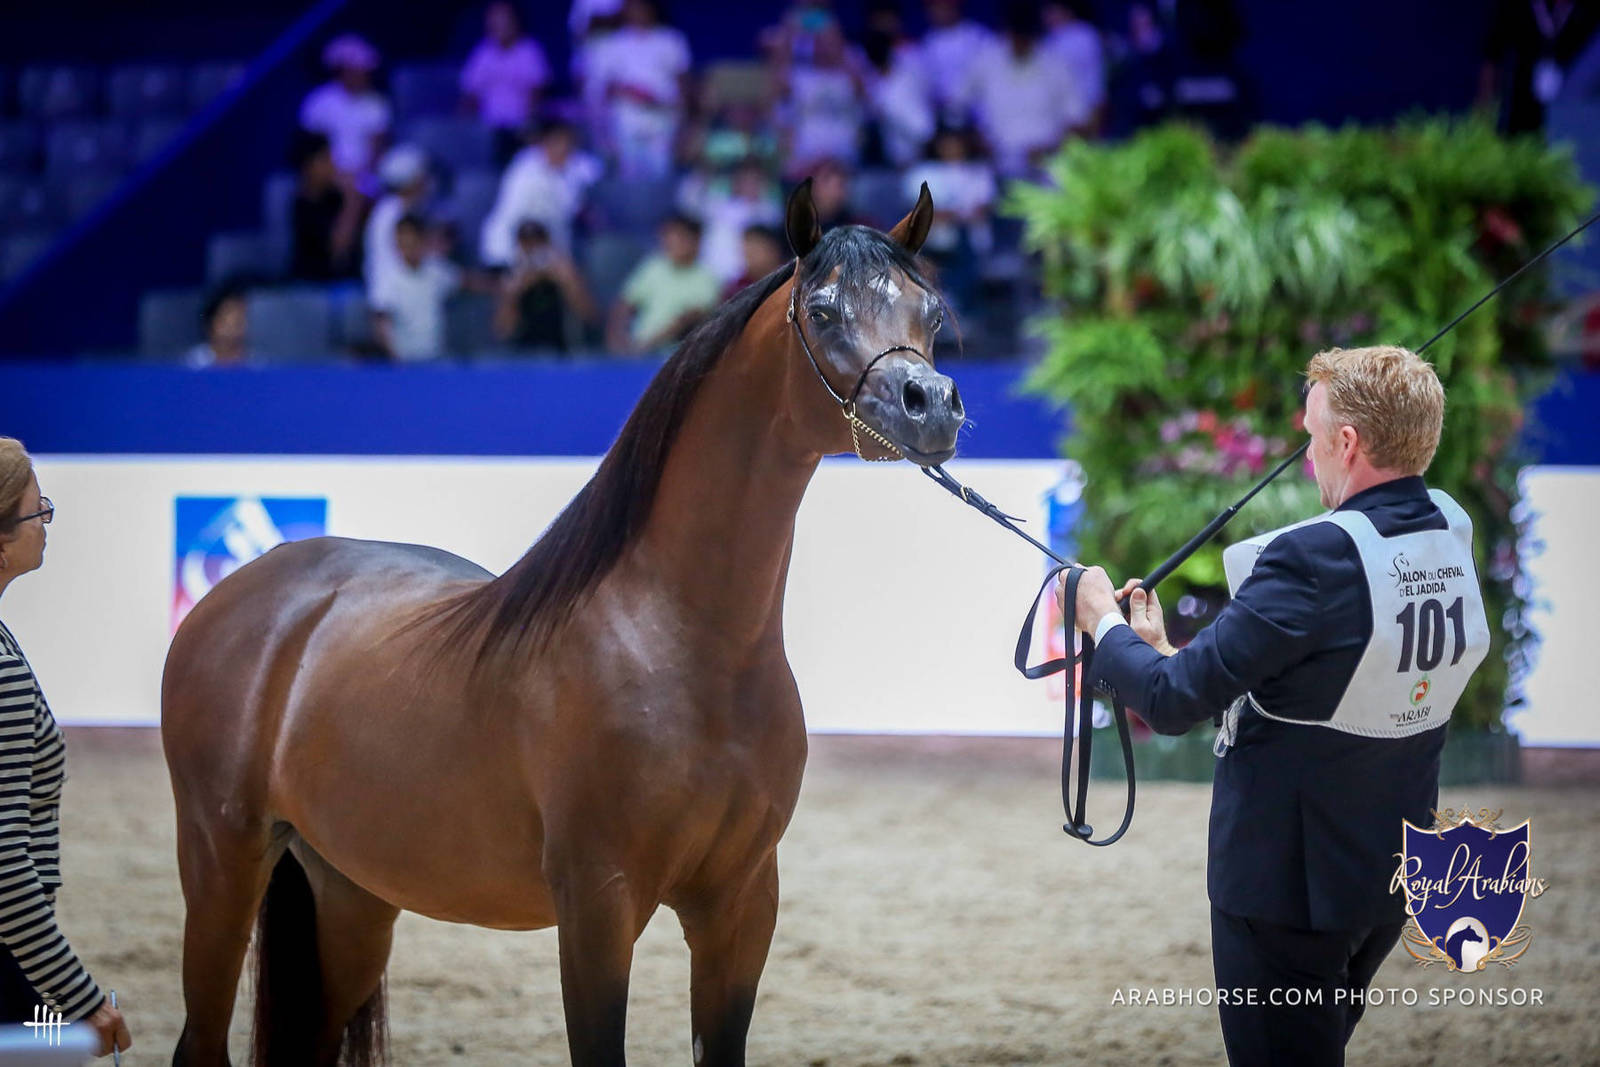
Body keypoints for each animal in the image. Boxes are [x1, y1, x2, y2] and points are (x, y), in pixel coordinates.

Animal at [161, 180, 965, 1067]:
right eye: (822, 310)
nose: (930, 405)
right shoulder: (597, 906)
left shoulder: (742, 904)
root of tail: (246, 589)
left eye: (931, 310)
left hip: (351, 893)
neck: (685, 644)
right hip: (222, 861)